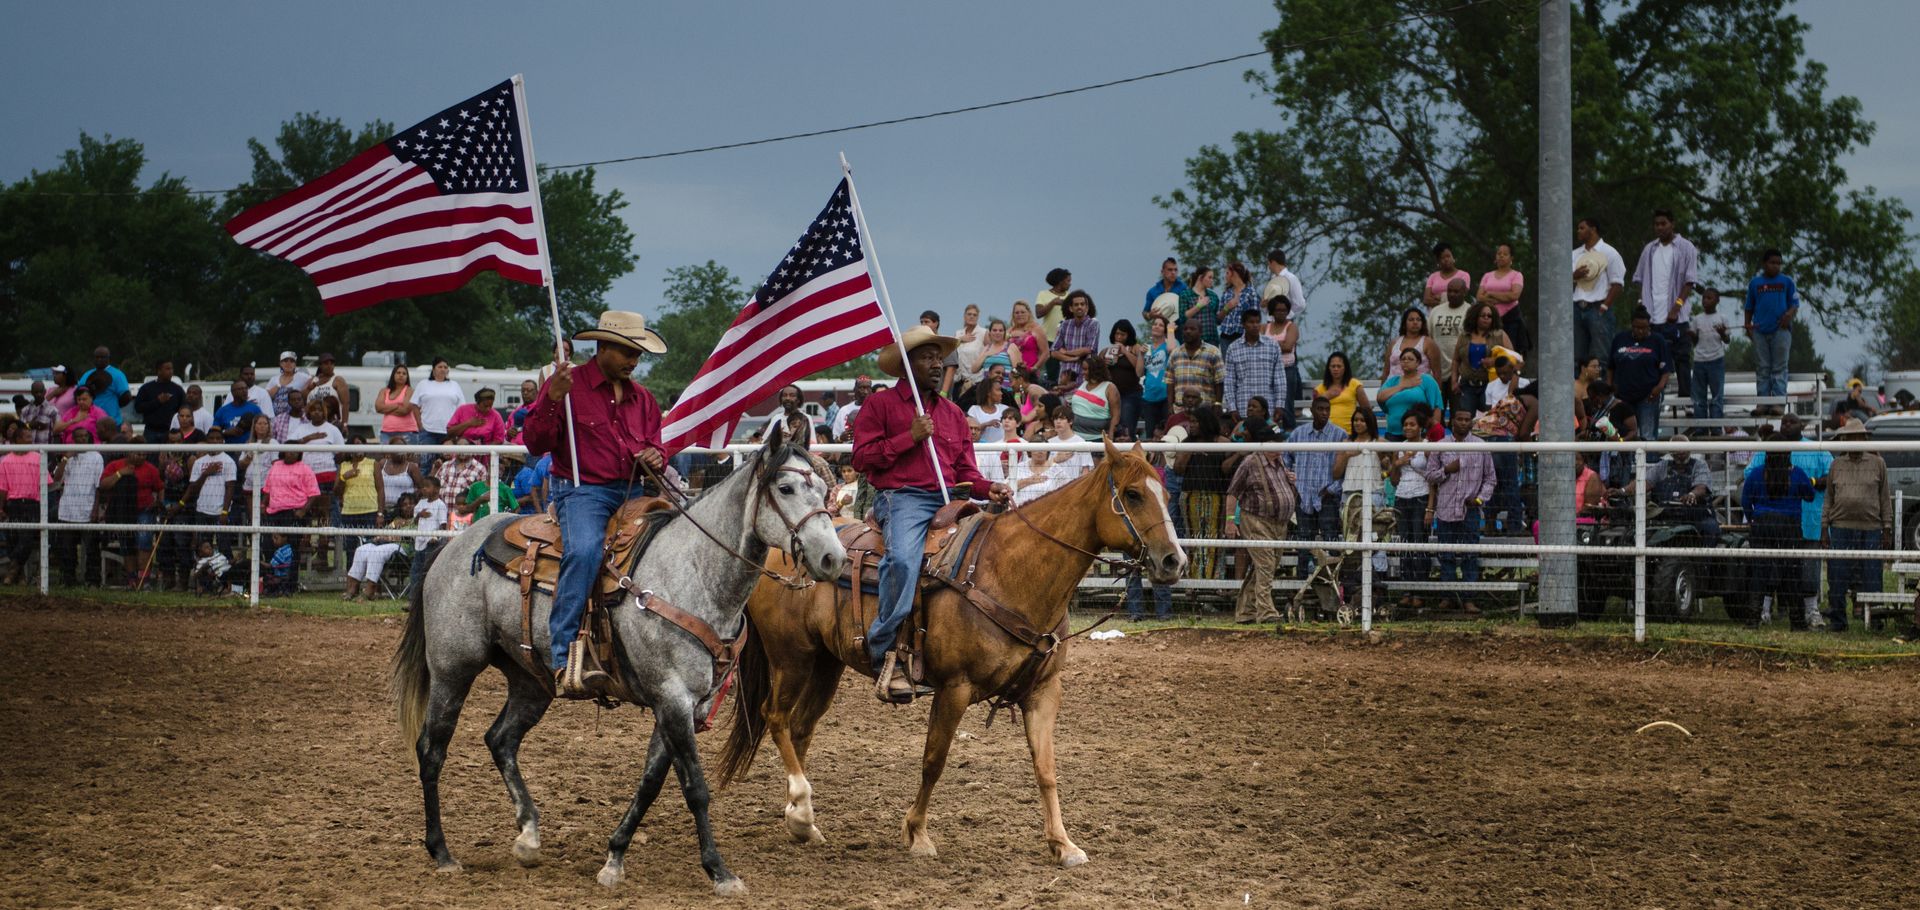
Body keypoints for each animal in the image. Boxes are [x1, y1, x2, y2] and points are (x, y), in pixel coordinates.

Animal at [389, 431, 840, 894]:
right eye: (785, 488)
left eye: (825, 491)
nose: (832, 558)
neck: (693, 573)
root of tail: (453, 545)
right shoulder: (672, 698)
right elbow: (695, 786)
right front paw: (719, 870)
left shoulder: (686, 706)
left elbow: (651, 782)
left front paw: (614, 857)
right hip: (452, 669)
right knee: (432, 750)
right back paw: (442, 852)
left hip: (530, 681)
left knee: (501, 739)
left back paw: (528, 836)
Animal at [718, 441, 1175, 867]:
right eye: (1133, 494)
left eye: (1165, 494)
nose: (1173, 559)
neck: (1008, 573)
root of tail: (776, 549)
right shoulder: (955, 688)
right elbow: (934, 760)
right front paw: (917, 834)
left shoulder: (1045, 690)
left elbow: (1046, 768)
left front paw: (1063, 844)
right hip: (791, 657)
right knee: (775, 717)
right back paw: (799, 811)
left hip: (825, 663)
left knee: (800, 728)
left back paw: (801, 820)